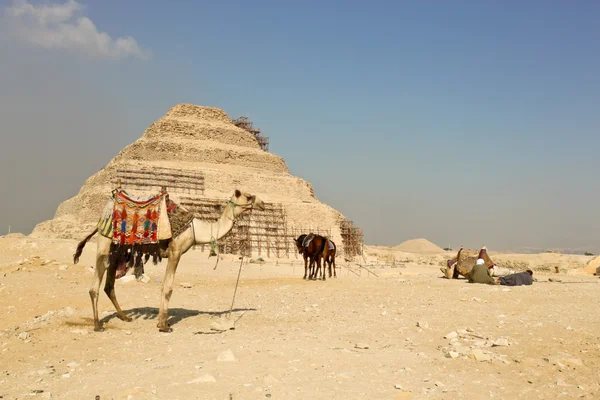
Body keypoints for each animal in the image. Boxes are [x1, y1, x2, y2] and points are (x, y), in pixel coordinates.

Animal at [74, 189, 264, 332]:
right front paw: (164, 325)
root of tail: (102, 218)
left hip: (117, 251)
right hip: (105, 244)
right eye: (248, 196)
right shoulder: (175, 252)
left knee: (109, 285)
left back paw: (125, 317)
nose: (261, 203)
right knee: (95, 286)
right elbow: (168, 288)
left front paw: (161, 322)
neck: (196, 230)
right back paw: (97, 325)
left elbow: (164, 286)